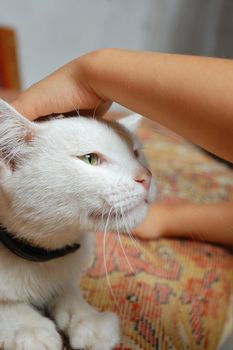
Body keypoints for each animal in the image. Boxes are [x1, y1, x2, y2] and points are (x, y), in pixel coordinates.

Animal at [0, 99, 155, 350]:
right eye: (90, 158)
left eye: (135, 153)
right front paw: (27, 328)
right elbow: (7, 305)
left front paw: (88, 318)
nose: (147, 176)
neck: (45, 259)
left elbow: (68, 290)